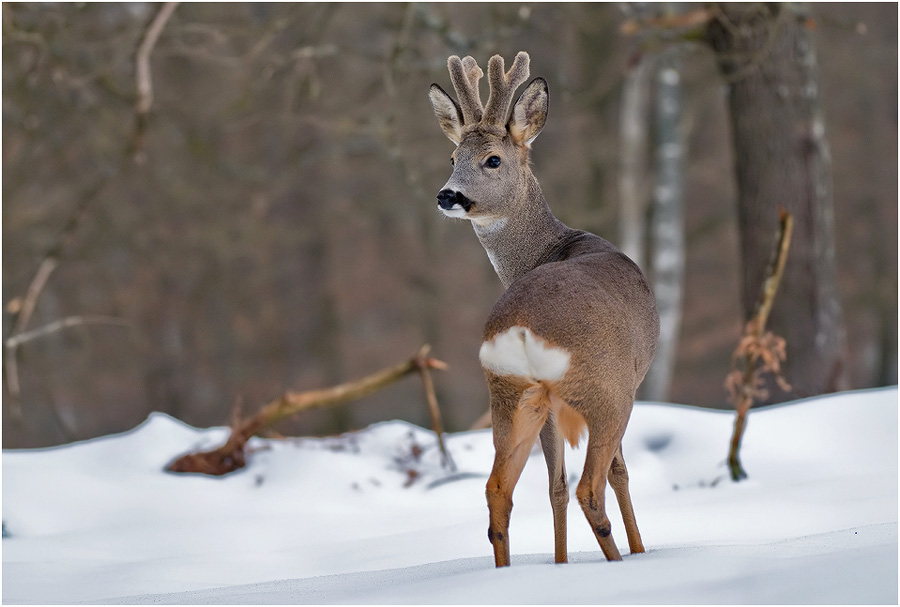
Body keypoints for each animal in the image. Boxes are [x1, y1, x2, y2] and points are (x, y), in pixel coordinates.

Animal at [430, 52, 660, 568]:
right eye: (453, 158)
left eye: (491, 159)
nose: (448, 195)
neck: (550, 247)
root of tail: (520, 328)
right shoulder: (629, 381)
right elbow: (619, 473)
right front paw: (641, 549)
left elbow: (553, 484)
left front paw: (560, 561)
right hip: (606, 389)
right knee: (591, 486)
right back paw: (621, 561)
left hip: (512, 394)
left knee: (499, 488)